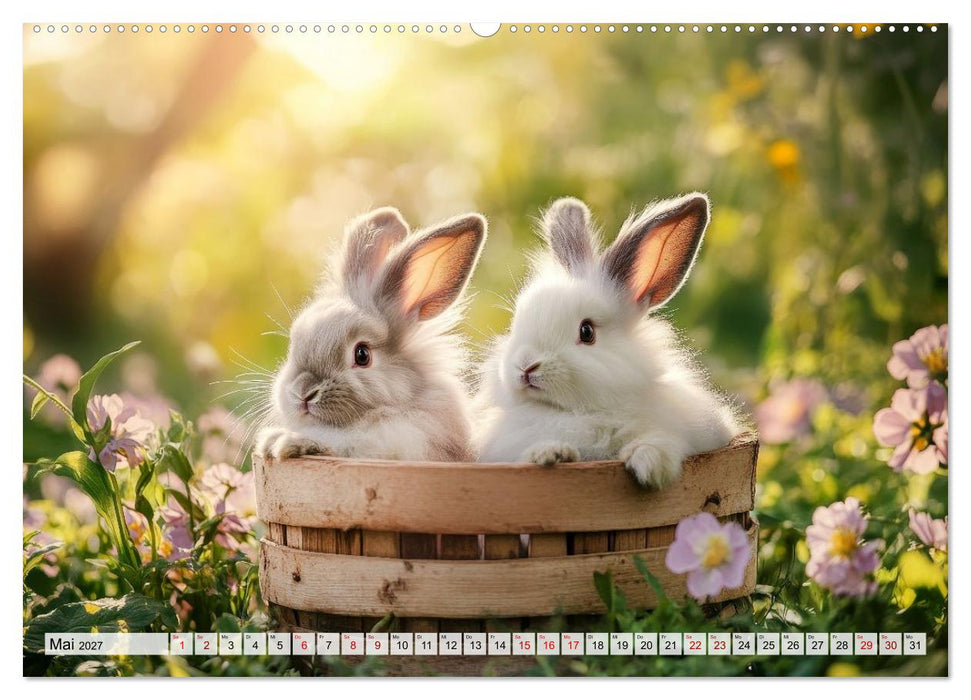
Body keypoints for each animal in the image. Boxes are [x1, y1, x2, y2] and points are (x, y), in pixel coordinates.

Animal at [474, 193, 740, 488]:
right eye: (515, 325)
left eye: (587, 332)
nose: (526, 365)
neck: (581, 413)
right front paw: (552, 454)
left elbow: (660, 440)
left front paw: (648, 464)